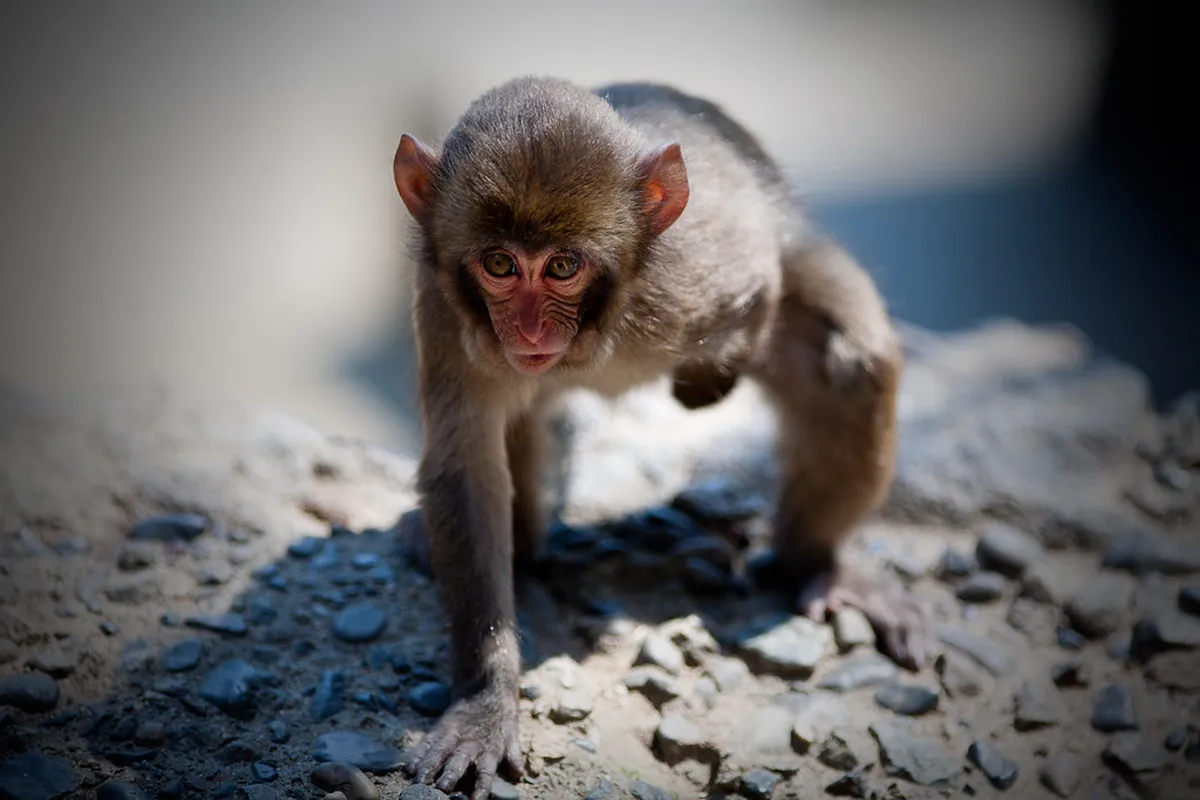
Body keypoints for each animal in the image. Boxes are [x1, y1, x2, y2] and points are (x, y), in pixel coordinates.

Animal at [391, 76, 926, 799]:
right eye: (500, 264)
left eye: (562, 267)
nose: (529, 331)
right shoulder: (447, 311)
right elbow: (465, 475)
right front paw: (483, 702)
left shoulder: (702, 274)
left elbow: (759, 287)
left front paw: (706, 385)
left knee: (855, 363)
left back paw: (818, 561)